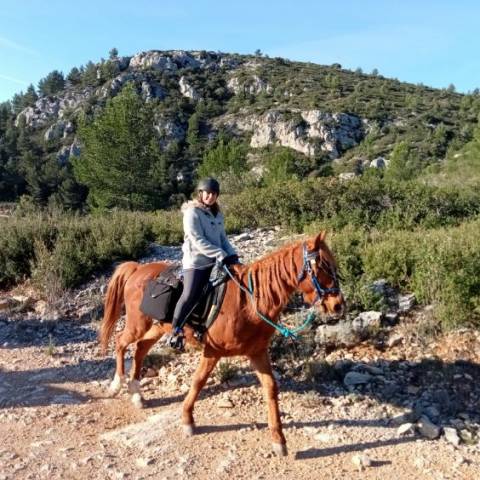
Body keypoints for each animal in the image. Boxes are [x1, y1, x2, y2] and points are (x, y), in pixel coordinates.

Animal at [99, 231, 344, 456]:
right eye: (323, 265)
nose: (338, 305)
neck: (249, 302)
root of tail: (137, 269)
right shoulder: (212, 351)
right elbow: (198, 382)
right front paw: (187, 420)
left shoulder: (257, 352)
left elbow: (271, 388)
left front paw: (279, 440)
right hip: (137, 324)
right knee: (121, 343)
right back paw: (117, 384)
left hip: (157, 328)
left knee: (140, 349)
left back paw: (137, 394)